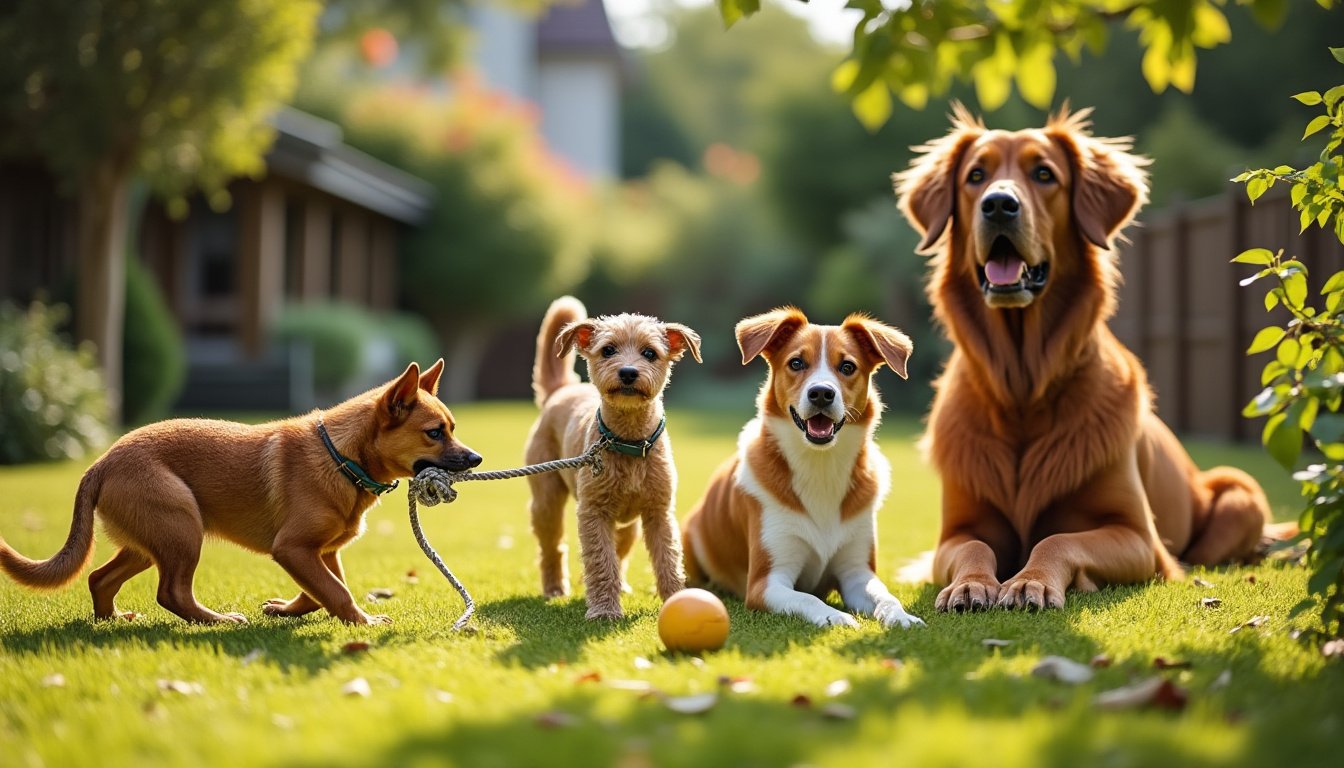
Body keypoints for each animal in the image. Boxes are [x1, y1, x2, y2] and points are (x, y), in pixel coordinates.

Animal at [524, 294, 704, 618]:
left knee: (620, 552)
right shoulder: (594, 512)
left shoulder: (659, 512)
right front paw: (605, 610)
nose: (628, 372)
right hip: (546, 500)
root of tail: (562, 390)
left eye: (650, 353)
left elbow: (668, 558)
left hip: (627, 525)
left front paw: (675, 597)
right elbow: (600, 560)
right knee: (553, 547)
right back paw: (555, 588)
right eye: (608, 350)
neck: (629, 442)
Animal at [682, 309, 924, 626]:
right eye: (796, 363)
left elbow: (886, 596)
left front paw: (900, 616)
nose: (821, 393)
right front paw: (836, 617)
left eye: (847, 366)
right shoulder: (765, 582)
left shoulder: (858, 573)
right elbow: (806, 598)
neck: (820, 466)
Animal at [897, 106, 1274, 613]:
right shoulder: (956, 531)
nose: (998, 205)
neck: (1022, 389)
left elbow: (1057, 538)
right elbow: (975, 547)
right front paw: (971, 584)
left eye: (1044, 174)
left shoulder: (1138, 537)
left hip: (1240, 492)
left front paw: (1030, 581)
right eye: (975, 176)